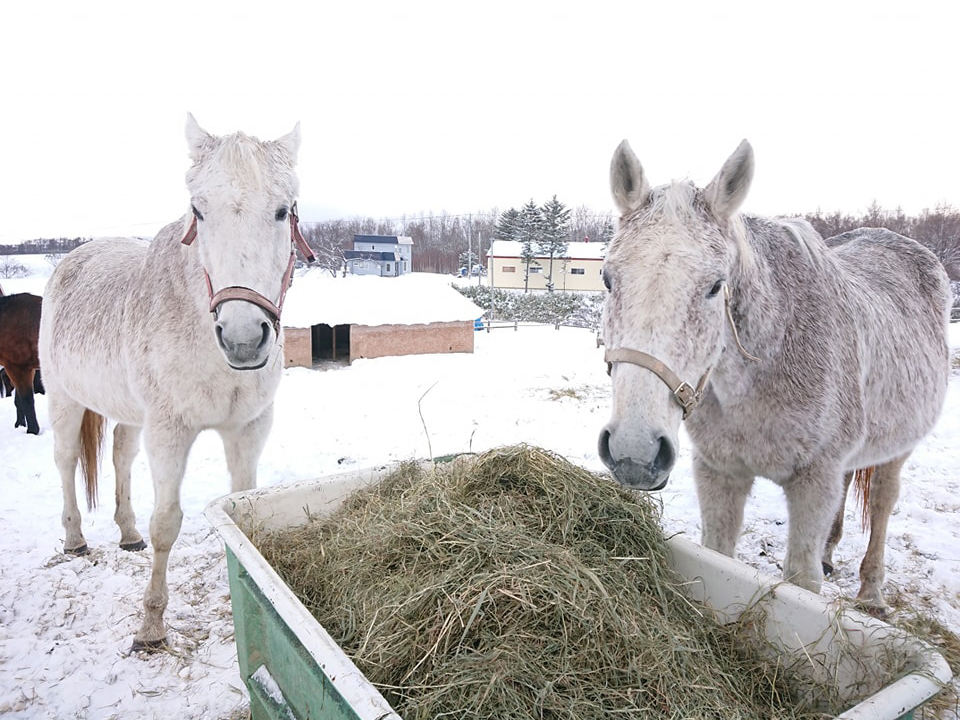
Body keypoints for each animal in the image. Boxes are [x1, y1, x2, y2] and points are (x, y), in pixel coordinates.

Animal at [40, 114, 312, 652]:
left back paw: (127, 534)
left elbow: (241, 503)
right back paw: (75, 539)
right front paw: (150, 626)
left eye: (281, 211)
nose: (244, 338)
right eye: (198, 211)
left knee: (120, 459)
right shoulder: (168, 432)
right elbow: (167, 524)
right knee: (64, 461)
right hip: (64, 399)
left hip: (128, 414)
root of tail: (72, 260)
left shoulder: (248, 429)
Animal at [600, 139, 952, 608]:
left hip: (898, 449)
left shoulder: (814, 484)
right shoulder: (719, 473)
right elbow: (720, 551)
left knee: (882, 501)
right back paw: (830, 554)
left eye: (716, 286)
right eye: (607, 277)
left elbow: (802, 577)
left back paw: (872, 591)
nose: (634, 452)